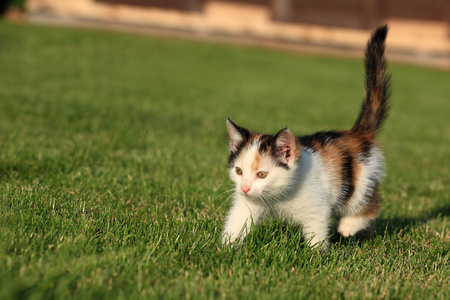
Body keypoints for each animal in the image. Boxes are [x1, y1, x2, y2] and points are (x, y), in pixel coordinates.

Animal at [221, 25, 390, 248]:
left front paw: (314, 254)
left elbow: (316, 232)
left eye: (262, 174)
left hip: (361, 182)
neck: (278, 195)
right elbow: (238, 220)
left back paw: (349, 226)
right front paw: (225, 248)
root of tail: (357, 132)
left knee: (368, 206)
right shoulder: (248, 204)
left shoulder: (315, 207)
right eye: (239, 171)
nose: (245, 188)